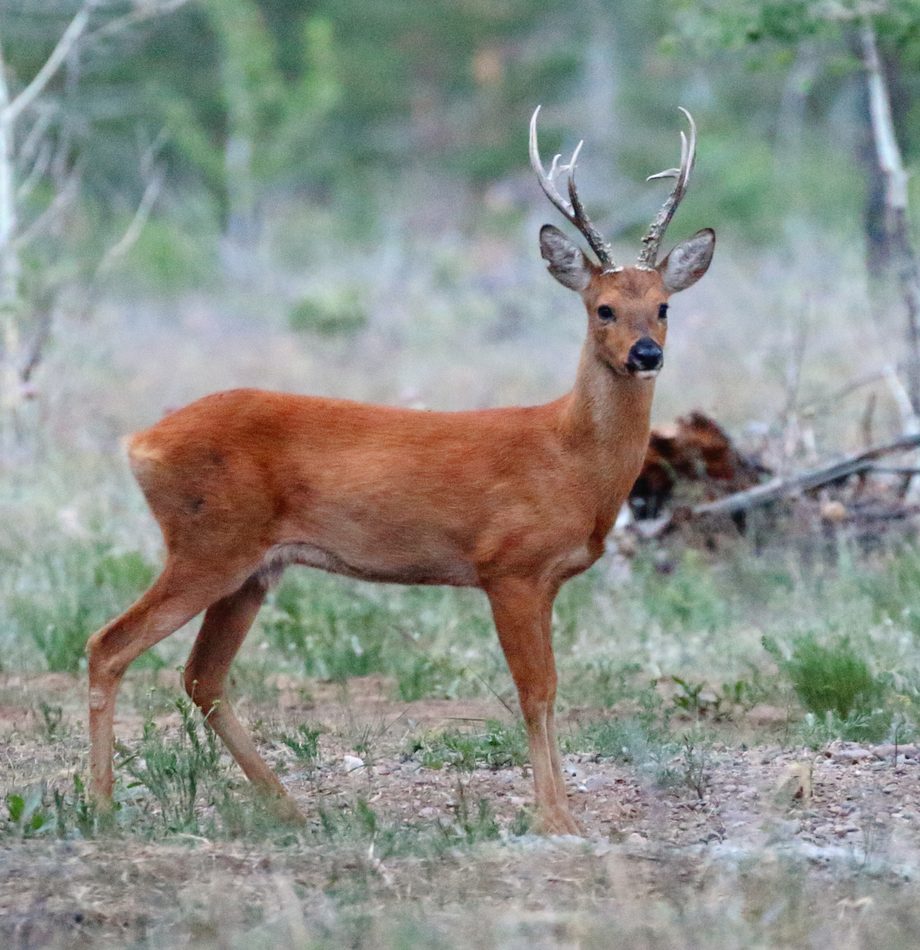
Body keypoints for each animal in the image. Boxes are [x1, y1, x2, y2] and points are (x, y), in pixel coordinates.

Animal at [86, 106, 714, 835]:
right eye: (603, 307)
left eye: (664, 306)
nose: (645, 354)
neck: (570, 458)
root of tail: (139, 442)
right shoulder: (509, 566)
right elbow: (536, 691)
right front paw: (555, 818)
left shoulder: (545, 579)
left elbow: (550, 689)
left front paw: (561, 812)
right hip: (208, 543)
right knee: (109, 644)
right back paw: (102, 806)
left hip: (253, 566)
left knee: (201, 677)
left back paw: (289, 808)